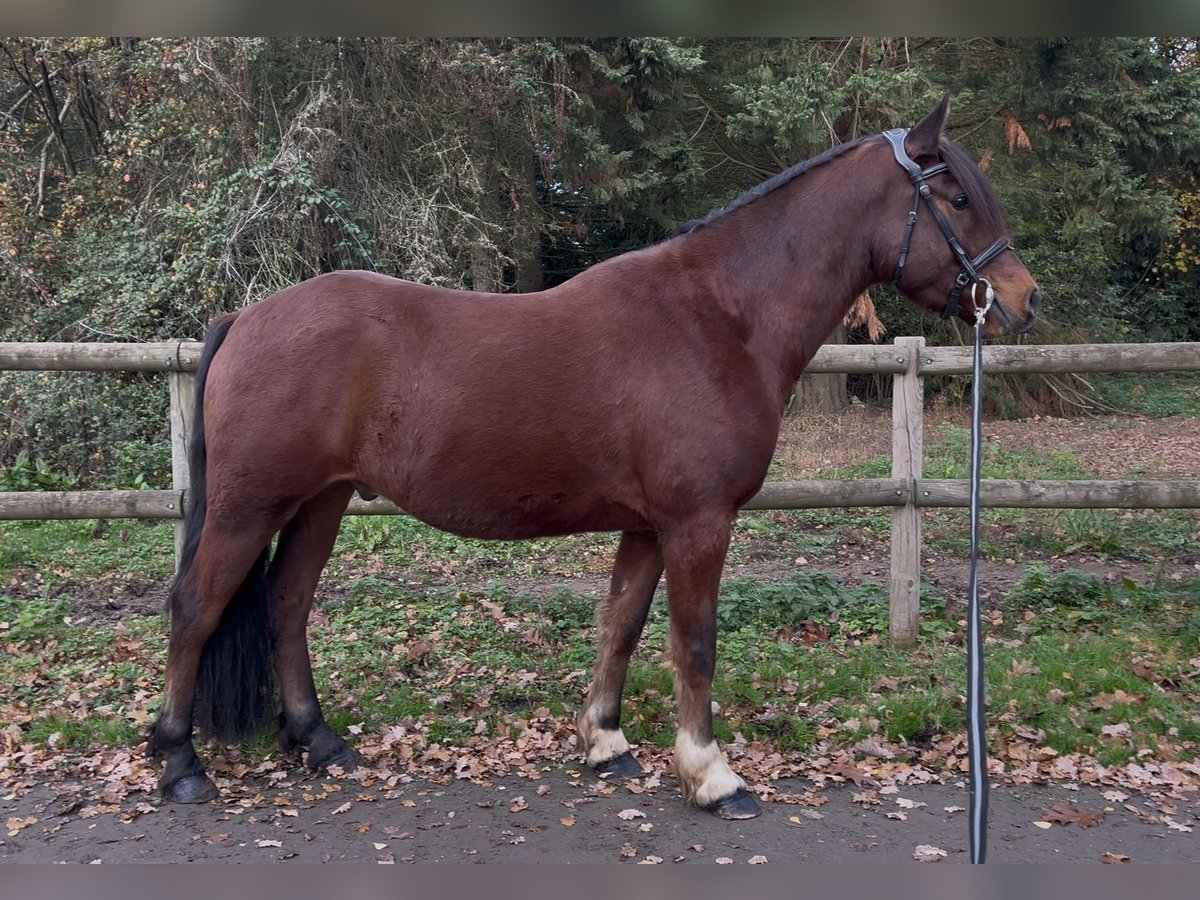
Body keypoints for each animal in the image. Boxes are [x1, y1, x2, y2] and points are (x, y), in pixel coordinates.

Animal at [147, 95, 1040, 819]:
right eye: (958, 196)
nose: (1023, 301)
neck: (719, 317)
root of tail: (245, 317)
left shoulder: (649, 525)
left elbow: (622, 625)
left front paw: (605, 744)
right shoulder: (697, 523)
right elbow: (694, 641)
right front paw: (711, 775)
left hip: (320, 500)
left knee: (288, 604)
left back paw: (320, 742)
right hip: (249, 505)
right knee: (195, 607)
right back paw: (181, 764)